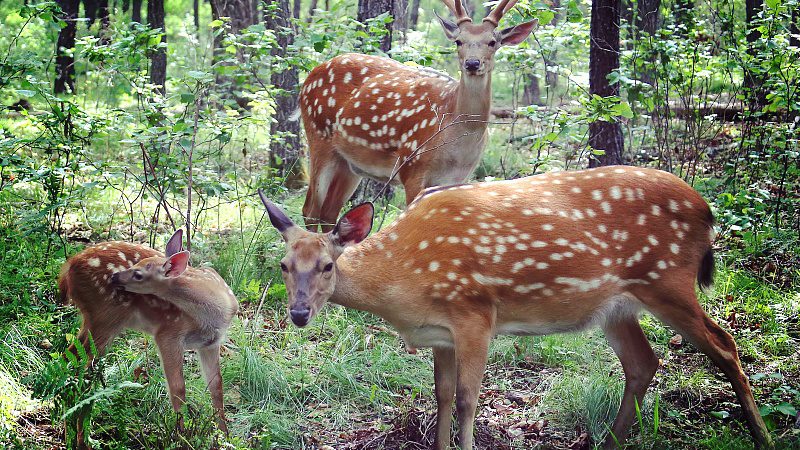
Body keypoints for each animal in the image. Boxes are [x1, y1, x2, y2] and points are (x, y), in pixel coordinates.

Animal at [59, 230, 238, 448]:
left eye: (138, 274)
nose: (115, 277)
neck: (215, 311)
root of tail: (69, 266)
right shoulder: (168, 333)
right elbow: (178, 388)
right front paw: (182, 437)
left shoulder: (210, 343)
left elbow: (217, 387)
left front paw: (224, 436)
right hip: (106, 317)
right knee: (82, 370)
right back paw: (81, 438)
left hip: (94, 320)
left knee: (68, 359)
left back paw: (69, 431)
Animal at [260, 164, 772, 450]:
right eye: (284, 265)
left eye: (327, 266)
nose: (299, 314)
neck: (406, 283)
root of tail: (707, 210)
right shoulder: (440, 333)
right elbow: (441, 395)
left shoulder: (474, 314)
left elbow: (468, 399)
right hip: (618, 307)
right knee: (644, 362)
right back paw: (609, 443)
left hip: (669, 282)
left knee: (725, 344)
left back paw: (762, 435)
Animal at [298, 0, 536, 232]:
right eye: (458, 41)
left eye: (492, 42)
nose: (472, 63)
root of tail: (310, 75)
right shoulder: (412, 167)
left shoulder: (457, 178)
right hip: (318, 135)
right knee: (310, 210)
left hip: (349, 163)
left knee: (329, 214)